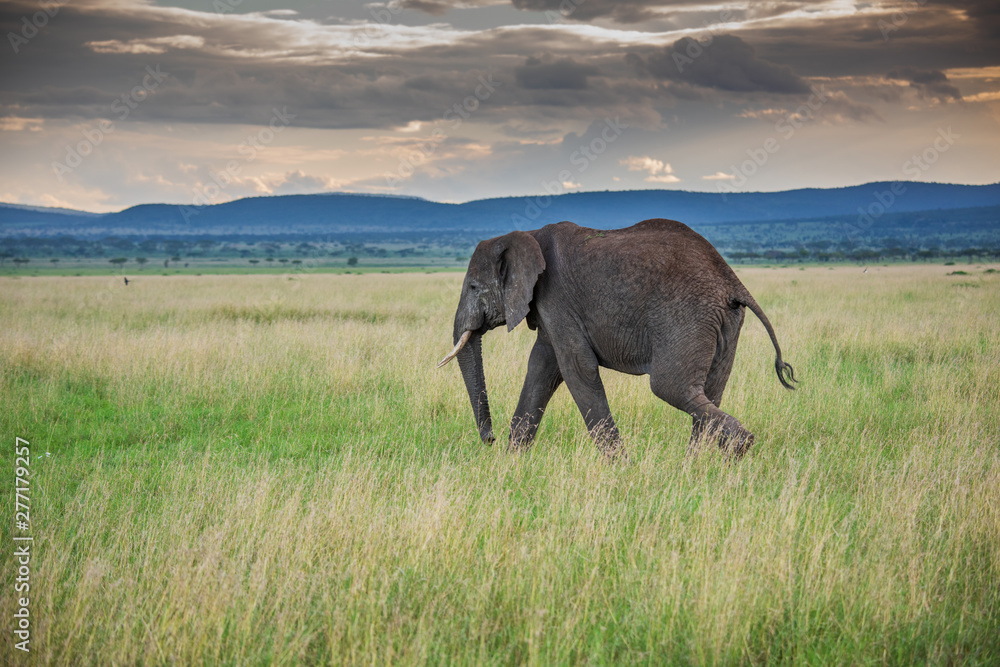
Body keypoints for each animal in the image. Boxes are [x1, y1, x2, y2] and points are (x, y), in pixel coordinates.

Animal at [438, 219, 796, 458]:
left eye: (473, 287)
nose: (490, 439)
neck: (527, 235)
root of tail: (731, 280)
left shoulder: (556, 296)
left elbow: (576, 368)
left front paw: (620, 466)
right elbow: (542, 367)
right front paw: (513, 461)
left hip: (687, 317)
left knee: (671, 386)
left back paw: (738, 448)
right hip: (723, 324)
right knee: (709, 391)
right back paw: (695, 466)